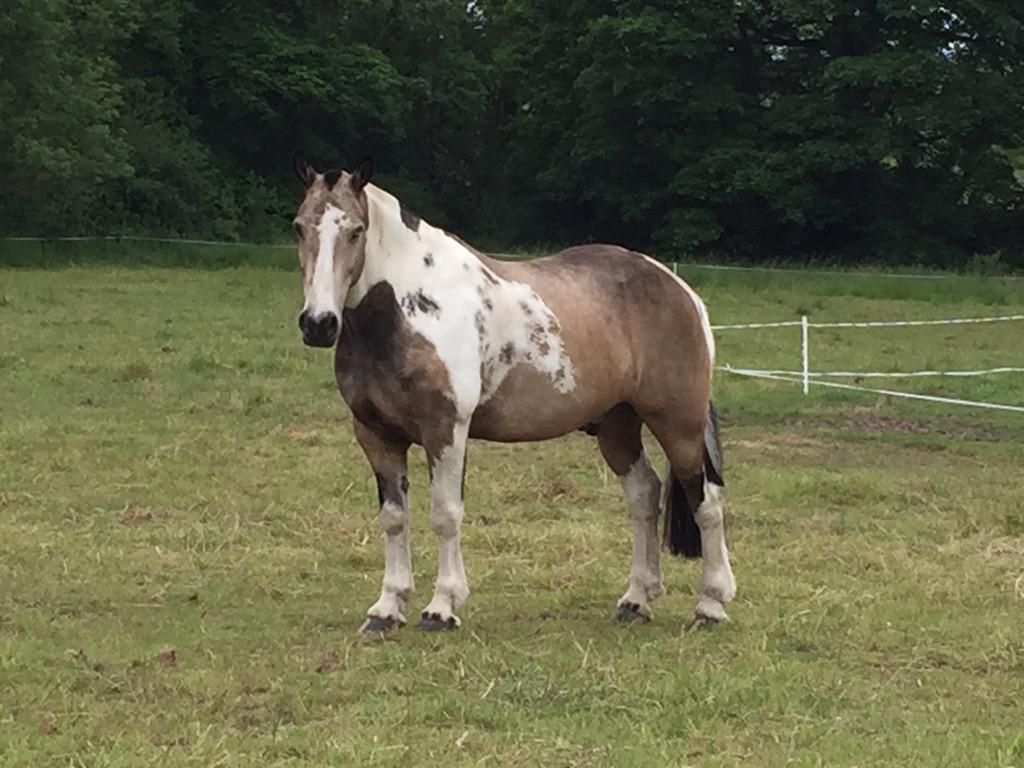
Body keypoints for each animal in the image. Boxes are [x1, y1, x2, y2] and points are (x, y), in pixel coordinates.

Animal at [290, 153, 736, 632]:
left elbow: (445, 513)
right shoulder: (375, 434)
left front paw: (441, 607)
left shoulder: (444, 429)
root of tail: (681, 290)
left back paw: (711, 604)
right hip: (618, 426)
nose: (319, 323)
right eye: (299, 227)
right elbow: (394, 518)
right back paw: (636, 599)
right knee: (644, 496)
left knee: (706, 501)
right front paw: (387, 608)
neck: (407, 309)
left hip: (678, 423)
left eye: (355, 231)